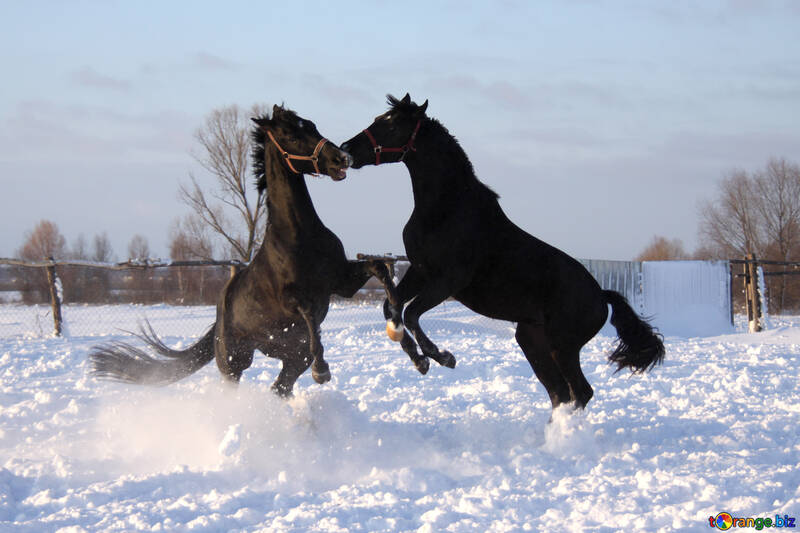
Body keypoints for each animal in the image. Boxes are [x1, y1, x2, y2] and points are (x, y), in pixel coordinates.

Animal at [90, 104, 404, 394]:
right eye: (292, 134)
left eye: (312, 125)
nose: (342, 158)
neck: (300, 235)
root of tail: (218, 319)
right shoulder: (293, 300)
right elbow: (308, 313)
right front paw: (322, 371)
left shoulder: (340, 282)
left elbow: (378, 267)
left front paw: (396, 323)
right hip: (234, 362)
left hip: (292, 358)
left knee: (280, 387)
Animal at [340, 94, 664, 412]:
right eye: (378, 118)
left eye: (393, 124)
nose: (346, 149)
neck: (445, 209)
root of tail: (601, 295)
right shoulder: (419, 272)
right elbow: (392, 308)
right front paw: (419, 360)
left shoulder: (448, 281)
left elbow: (411, 313)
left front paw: (442, 357)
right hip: (532, 340)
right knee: (561, 393)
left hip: (563, 345)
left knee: (580, 391)